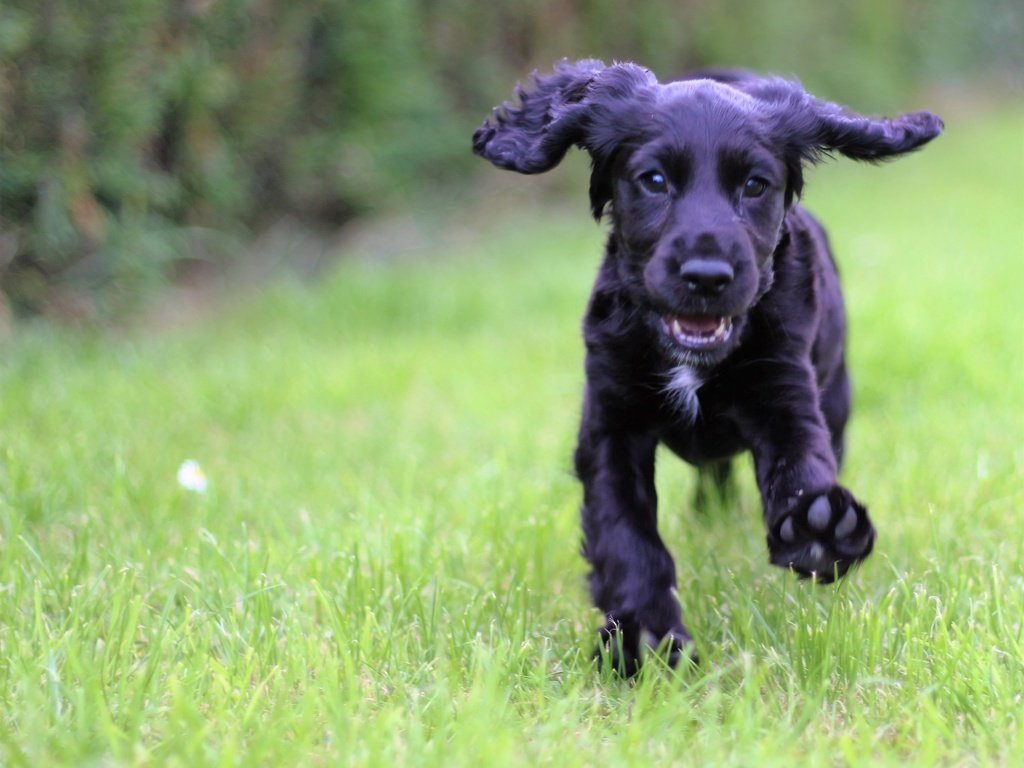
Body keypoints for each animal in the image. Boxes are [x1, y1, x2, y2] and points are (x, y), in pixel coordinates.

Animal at [471, 60, 942, 671]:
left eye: (755, 185)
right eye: (653, 180)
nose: (706, 276)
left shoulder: (784, 391)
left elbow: (799, 465)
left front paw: (821, 530)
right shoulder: (610, 425)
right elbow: (626, 534)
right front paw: (645, 639)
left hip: (836, 392)